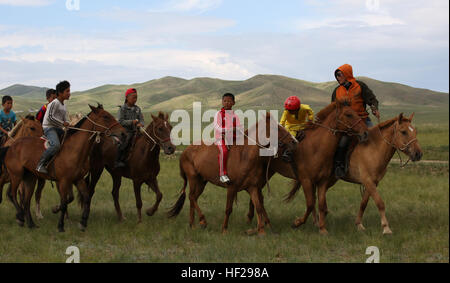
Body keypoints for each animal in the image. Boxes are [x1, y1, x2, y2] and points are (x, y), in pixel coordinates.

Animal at [169, 114, 298, 236]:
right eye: (276, 128)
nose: (294, 141)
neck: (245, 156)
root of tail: (185, 151)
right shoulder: (232, 187)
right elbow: (228, 209)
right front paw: (224, 229)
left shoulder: (252, 187)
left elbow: (258, 206)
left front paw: (261, 230)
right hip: (193, 178)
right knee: (191, 197)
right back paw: (202, 221)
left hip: (202, 181)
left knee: (193, 198)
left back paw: (193, 224)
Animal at [246, 101, 370, 235]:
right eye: (348, 114)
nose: (366, 132)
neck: (316, 147)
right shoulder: (306, 180)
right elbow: (310, 204)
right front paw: (297, 223)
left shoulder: (322, 181)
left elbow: (321, 204)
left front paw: (322, 228)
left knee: (257, 194)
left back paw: (261, 222)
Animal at [284, 113, 422, 235]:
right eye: (403, 132)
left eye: (415, 131)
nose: (418, 154)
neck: (374, 148)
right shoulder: (368, 181)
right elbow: (380, 202)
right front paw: (386, 228)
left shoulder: (373, 183)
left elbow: (363, 204)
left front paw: (359, 225)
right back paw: (315, 221)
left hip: (329, 179)